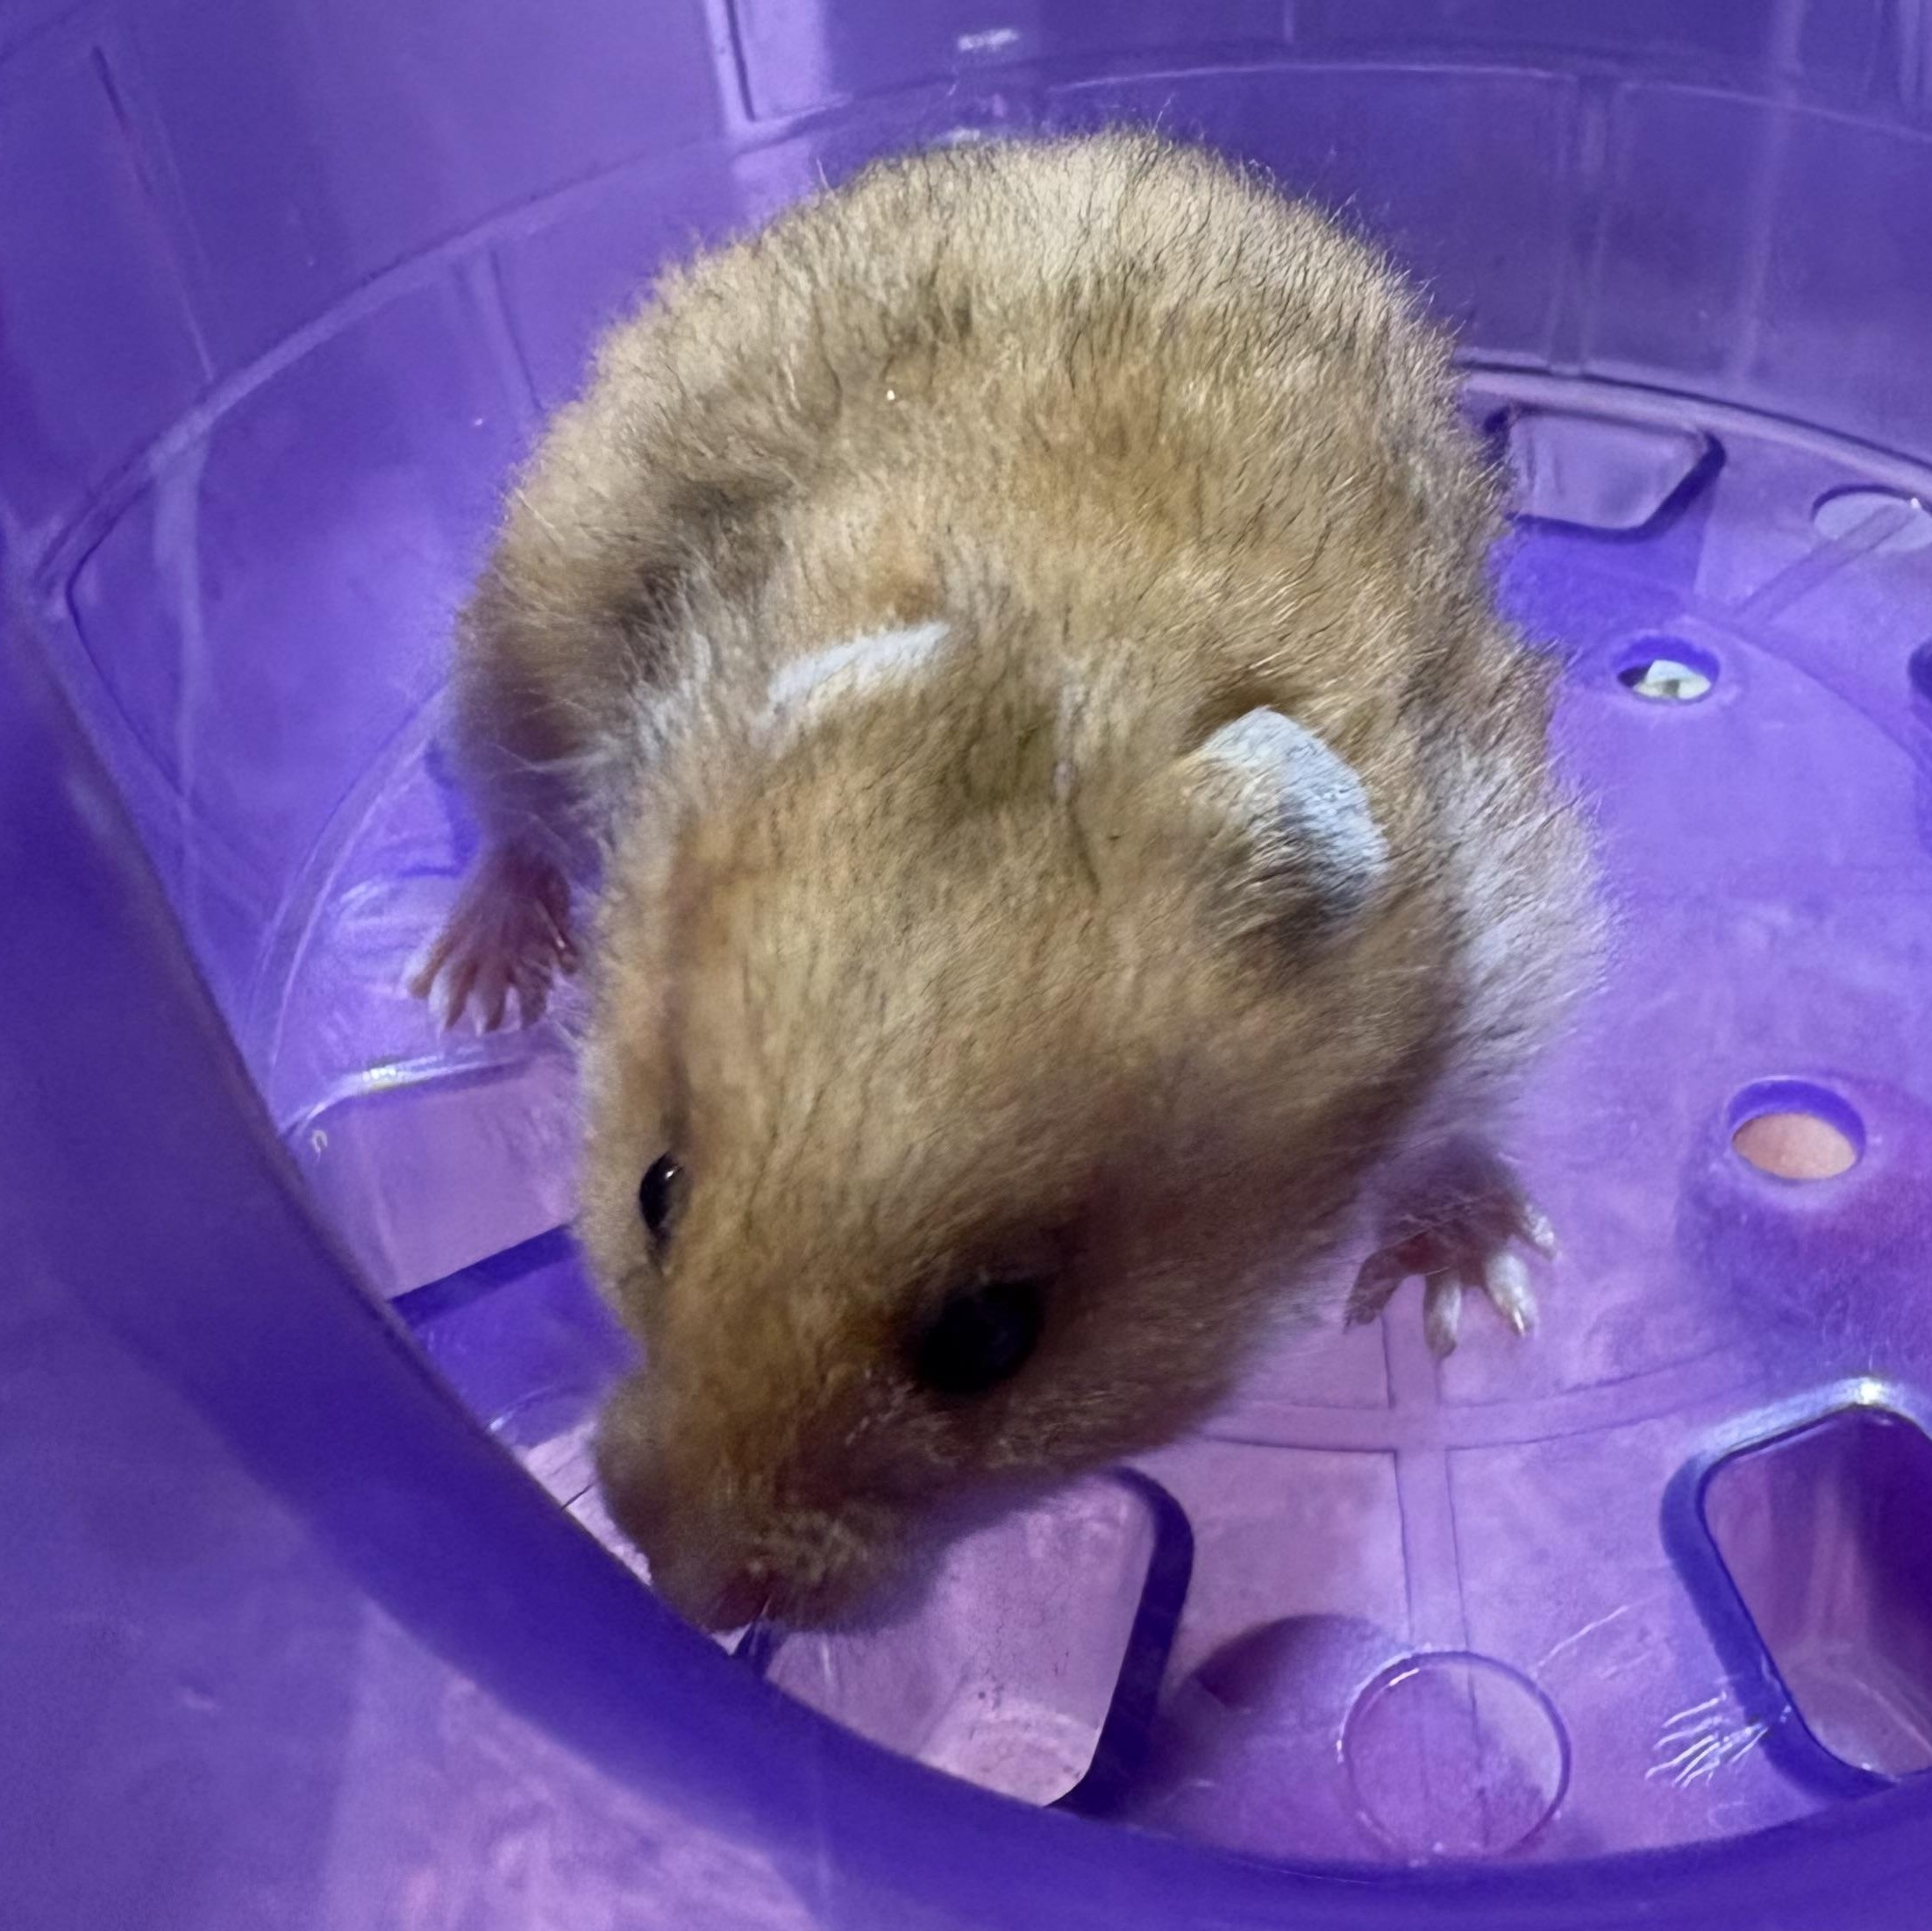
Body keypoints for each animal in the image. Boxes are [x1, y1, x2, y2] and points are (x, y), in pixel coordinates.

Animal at [414, 129, 1599, 1632]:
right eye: (654, 1190)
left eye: (990, 1333)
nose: (690, 1595)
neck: (1056, 655)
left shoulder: (1515, 921)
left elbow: (1461, 1130)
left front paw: (1477, 1293)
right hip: (519, 626)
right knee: (503, 821)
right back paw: (468, 989)